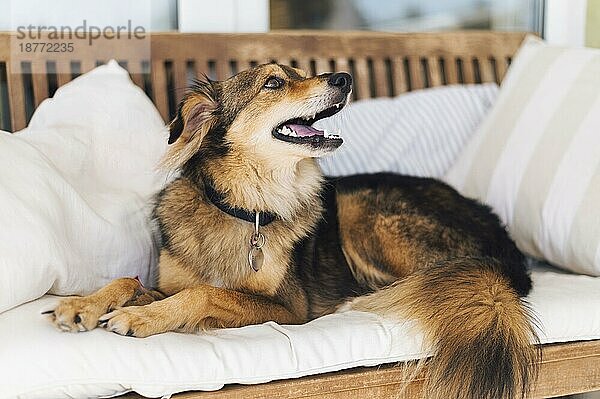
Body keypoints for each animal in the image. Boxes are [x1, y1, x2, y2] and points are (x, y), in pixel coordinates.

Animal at [49, 64, 540, 398]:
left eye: (300, 73)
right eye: (273, 83)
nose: (343, 77)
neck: (248, 209)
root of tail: (506, 255)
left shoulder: (287, 308)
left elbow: (203, 293)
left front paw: (139, 318)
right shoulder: (170, 282)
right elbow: (132, 281)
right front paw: (82, 305)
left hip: (361, 209)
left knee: (428, 281)